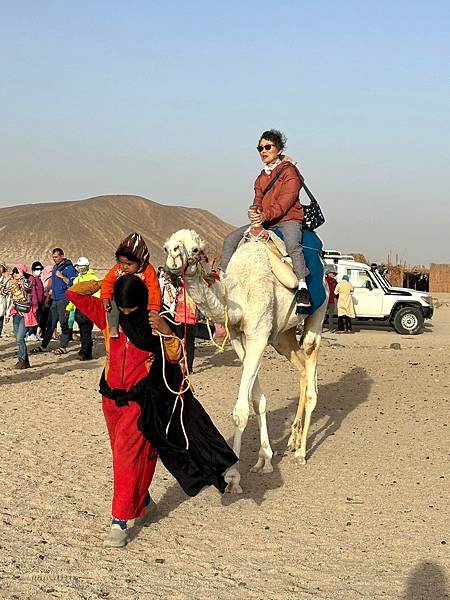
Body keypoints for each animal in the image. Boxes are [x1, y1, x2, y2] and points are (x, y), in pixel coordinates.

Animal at [163, 229, 326, 492]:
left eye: (195, 249)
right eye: (168, 247)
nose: (174, 259)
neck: (238, 294)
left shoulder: (258, 334)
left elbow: (241, 410)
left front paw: (232, 477)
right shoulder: (240, 338)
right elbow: (258, 401)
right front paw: (264, 460)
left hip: (317, 315)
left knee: (311, 366)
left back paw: (301, 452)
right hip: (281, 336)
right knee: (301, 368)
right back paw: (292, 439)